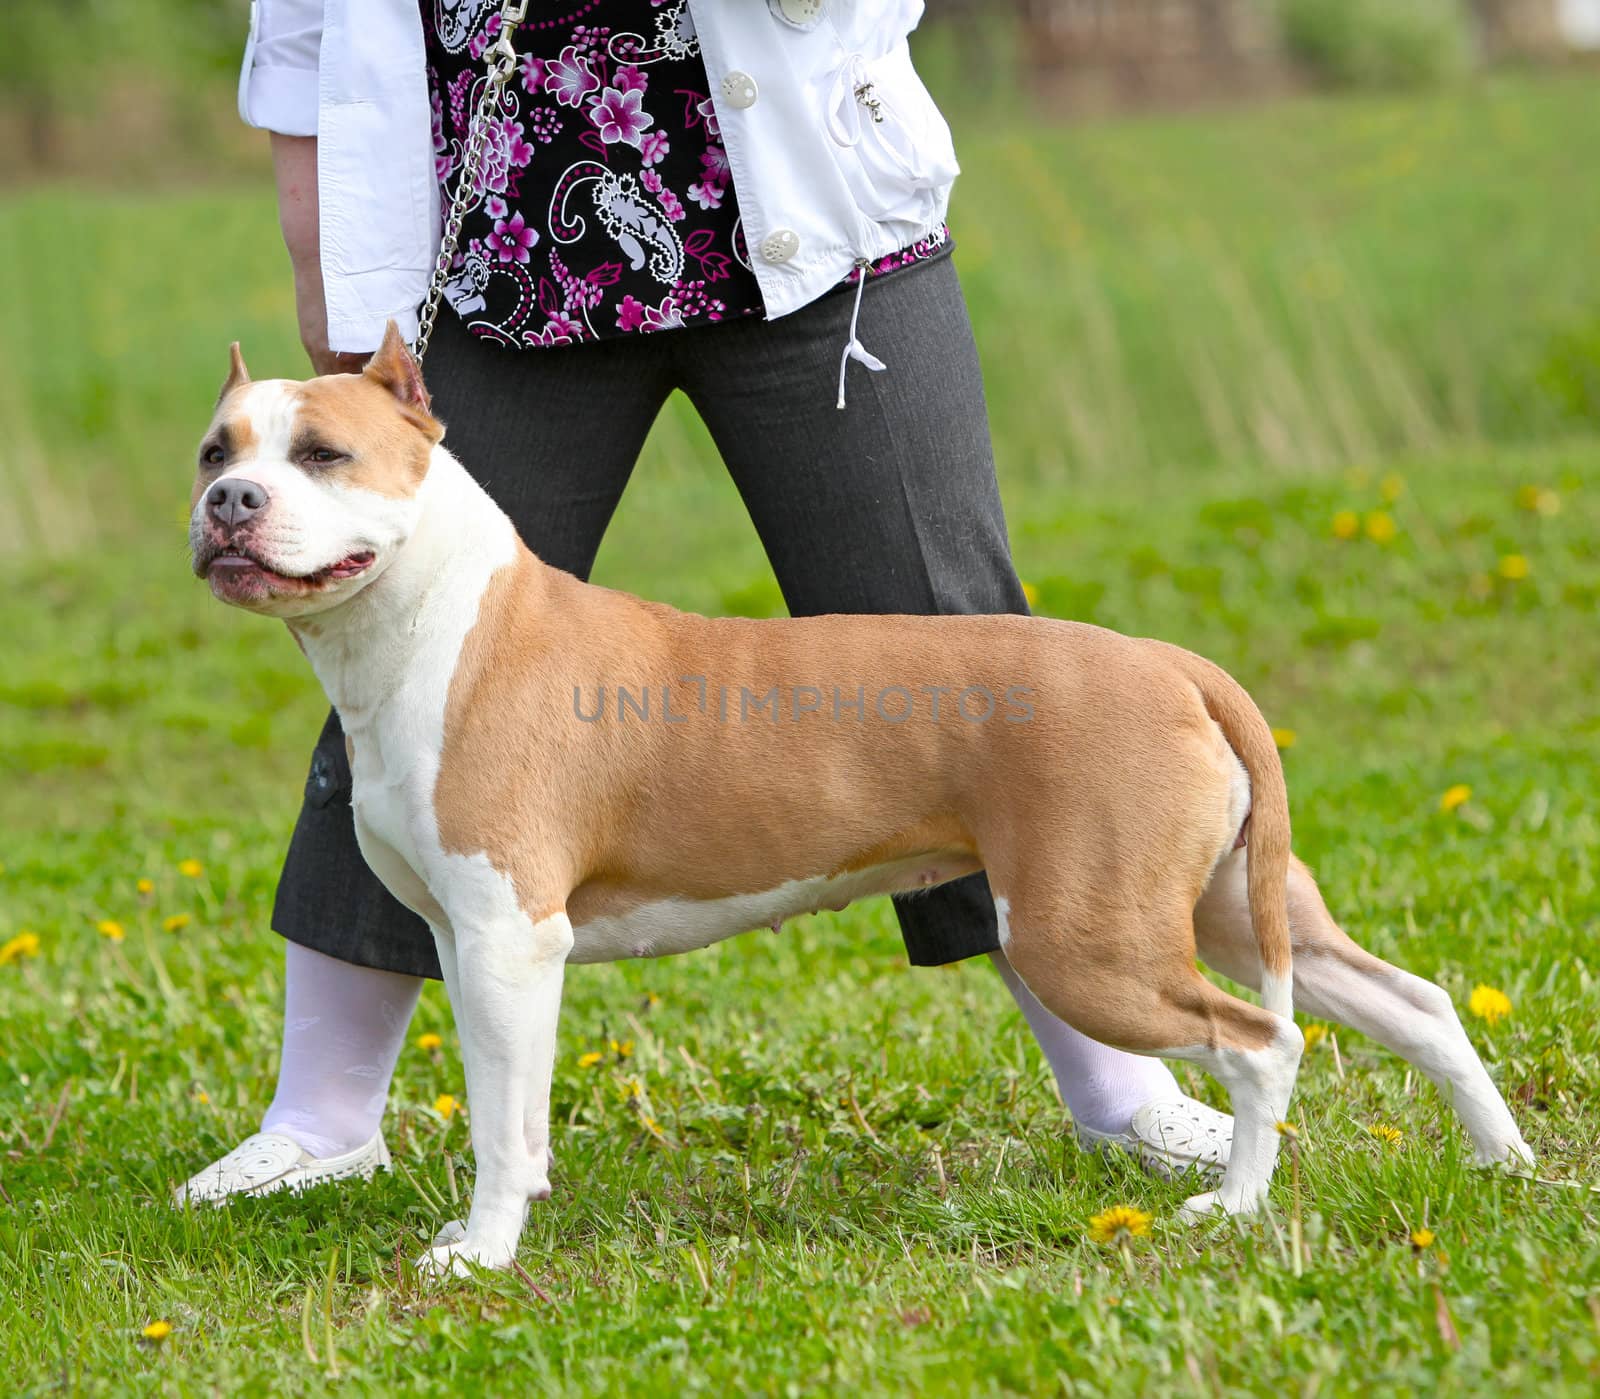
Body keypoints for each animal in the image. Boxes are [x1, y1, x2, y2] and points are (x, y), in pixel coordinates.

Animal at [193, 329, 1529, 1274]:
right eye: (218, 450)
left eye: (321, 454)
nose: (228, 506)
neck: (432, 618)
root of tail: (1169, 662)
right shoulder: (467, 940)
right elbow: (503, 1110)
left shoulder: (508, 943)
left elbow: (498, 1124)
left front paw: (479, 1254)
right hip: (1223, 904)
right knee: (1413, 1004)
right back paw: (1501, 1162)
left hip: (1084, 934)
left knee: (1260, 1041)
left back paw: (1236, 1204)